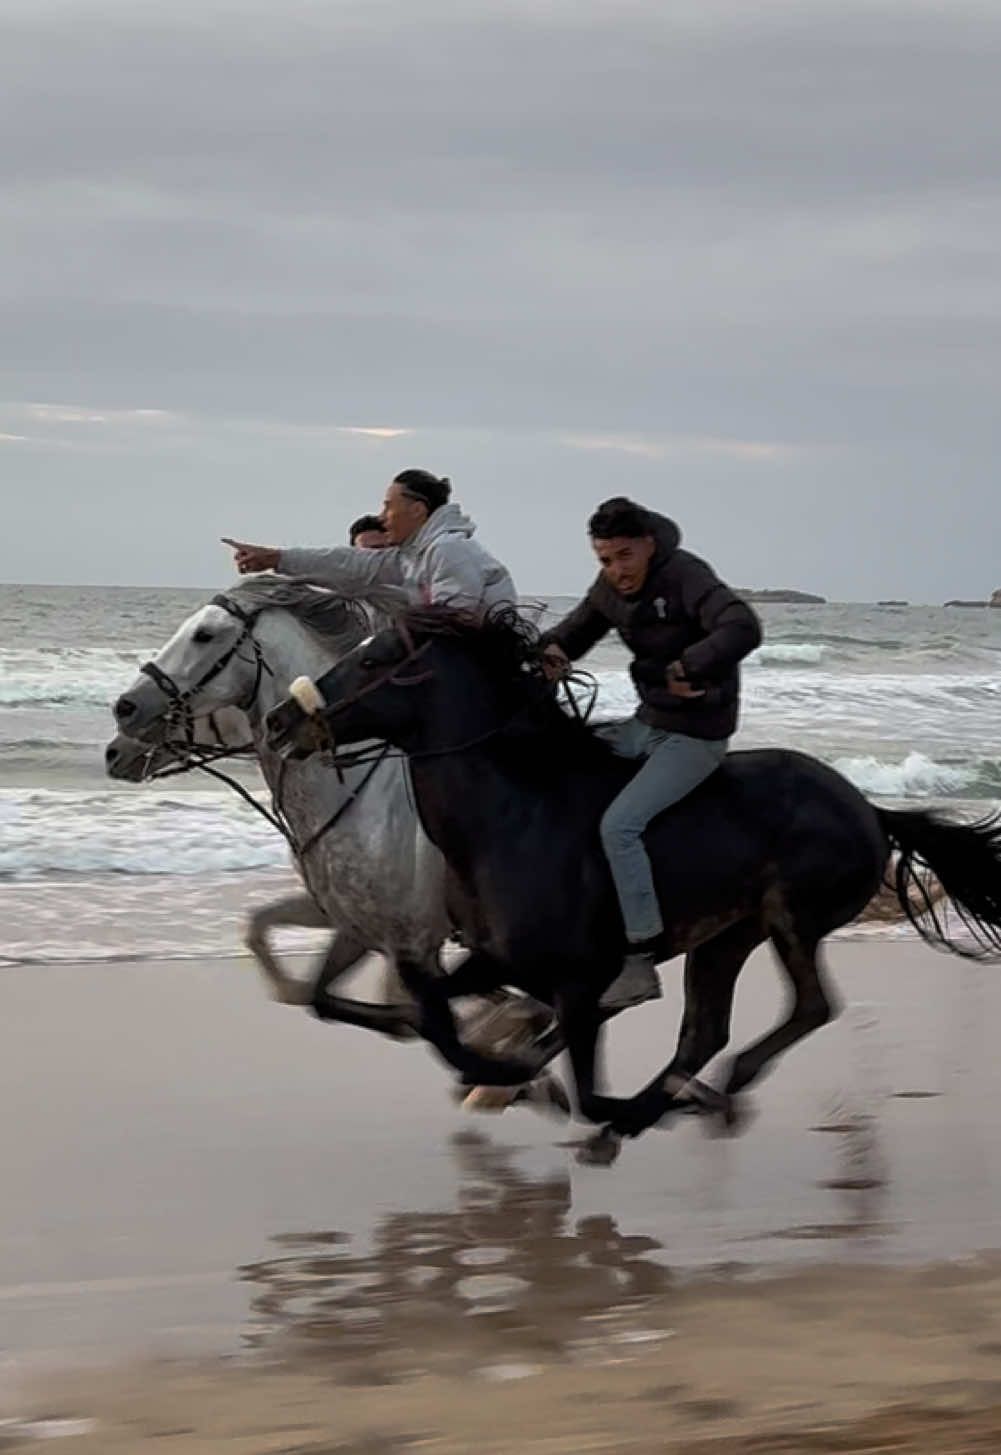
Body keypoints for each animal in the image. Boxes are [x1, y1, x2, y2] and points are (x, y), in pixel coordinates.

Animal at [263, 608, 1001, 1152]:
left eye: (372, 659)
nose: (280, 719)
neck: (513, 812)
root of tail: (869, 808)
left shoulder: (579, 978)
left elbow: (577, 1080)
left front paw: (525, 1082)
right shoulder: (496, 958)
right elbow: (432, 1014)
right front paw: (501, 1073)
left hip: (791, 919)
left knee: (808, 1009)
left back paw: (685, 1102)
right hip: (726, 936)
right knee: (705, 1031)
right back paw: (673, 1101)